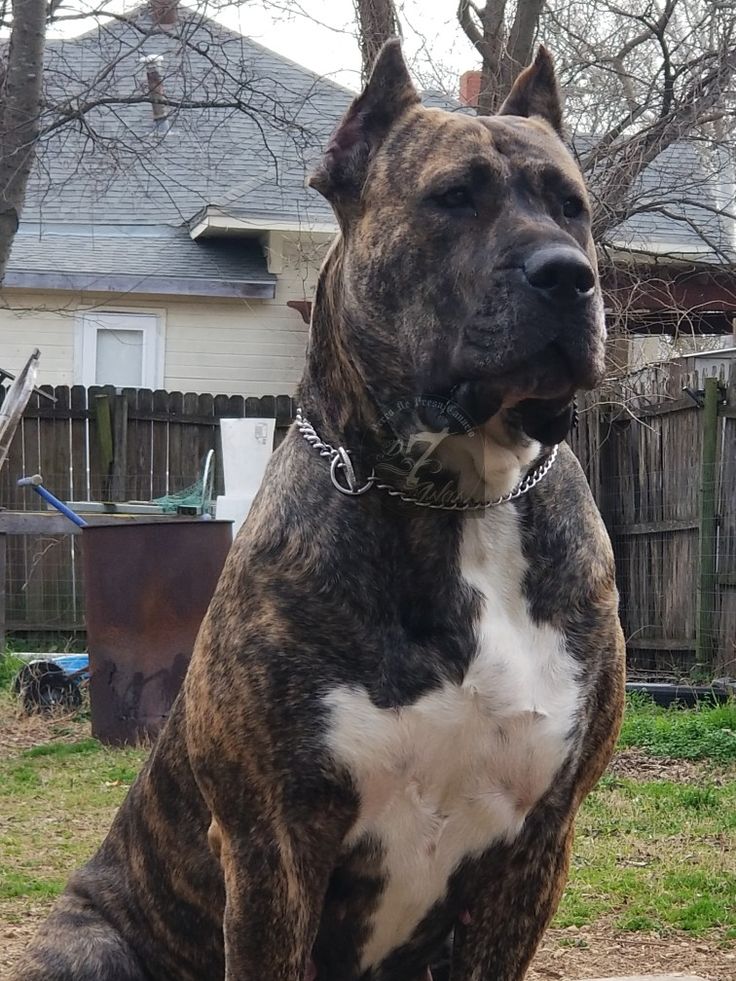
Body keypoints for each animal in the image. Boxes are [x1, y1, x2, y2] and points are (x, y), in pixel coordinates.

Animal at [11, 42, 624, 980]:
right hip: (89, 944)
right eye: (453, 197)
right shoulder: (273, 842)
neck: (459, 497)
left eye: (573, 206)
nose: (568, 273)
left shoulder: (536, 844)